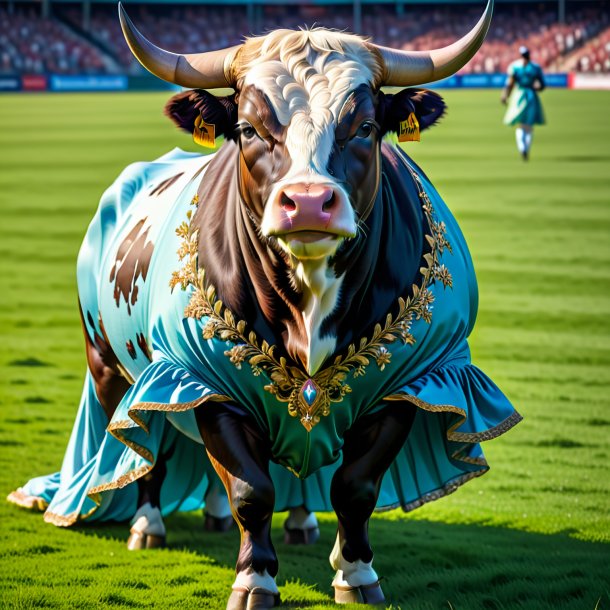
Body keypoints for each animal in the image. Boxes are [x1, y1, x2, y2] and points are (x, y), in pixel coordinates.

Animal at [9, 1, 520, 604]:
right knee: (143, 450)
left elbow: (355, 486)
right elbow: (251, 489)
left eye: (365, 127)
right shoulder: (200, 381)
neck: (310, 300)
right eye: (249, 129)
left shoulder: (415, 384)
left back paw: (288, 520)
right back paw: (147, 522)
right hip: (110, 366)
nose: (308, 203)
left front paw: (357, 573)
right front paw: (255, 579)